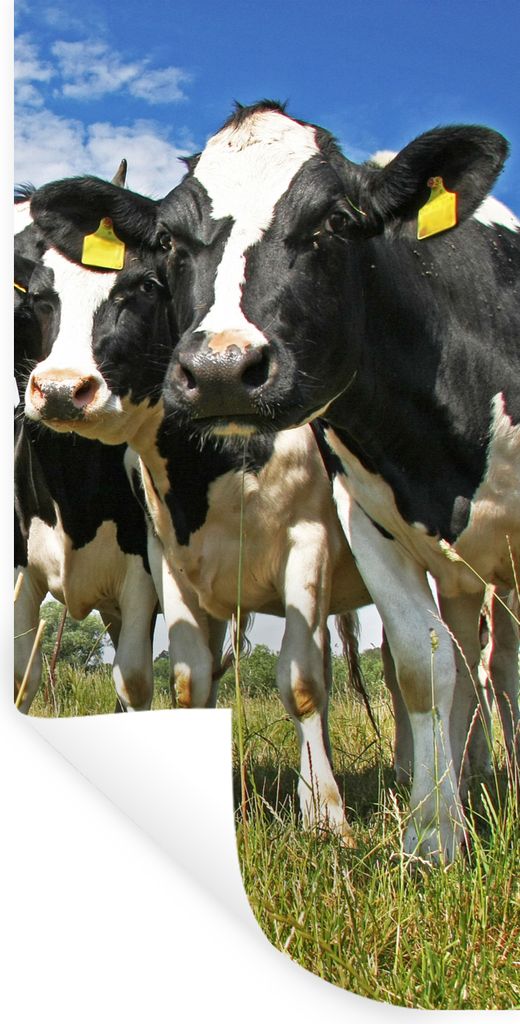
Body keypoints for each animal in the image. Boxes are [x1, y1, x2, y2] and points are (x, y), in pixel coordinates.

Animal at [133, 101, 519, 863]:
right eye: (168, 239)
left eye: (337, 220)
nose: (222, 369)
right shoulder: (370, 523)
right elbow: (423, 666)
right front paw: (433, 837)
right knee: (465, 663)